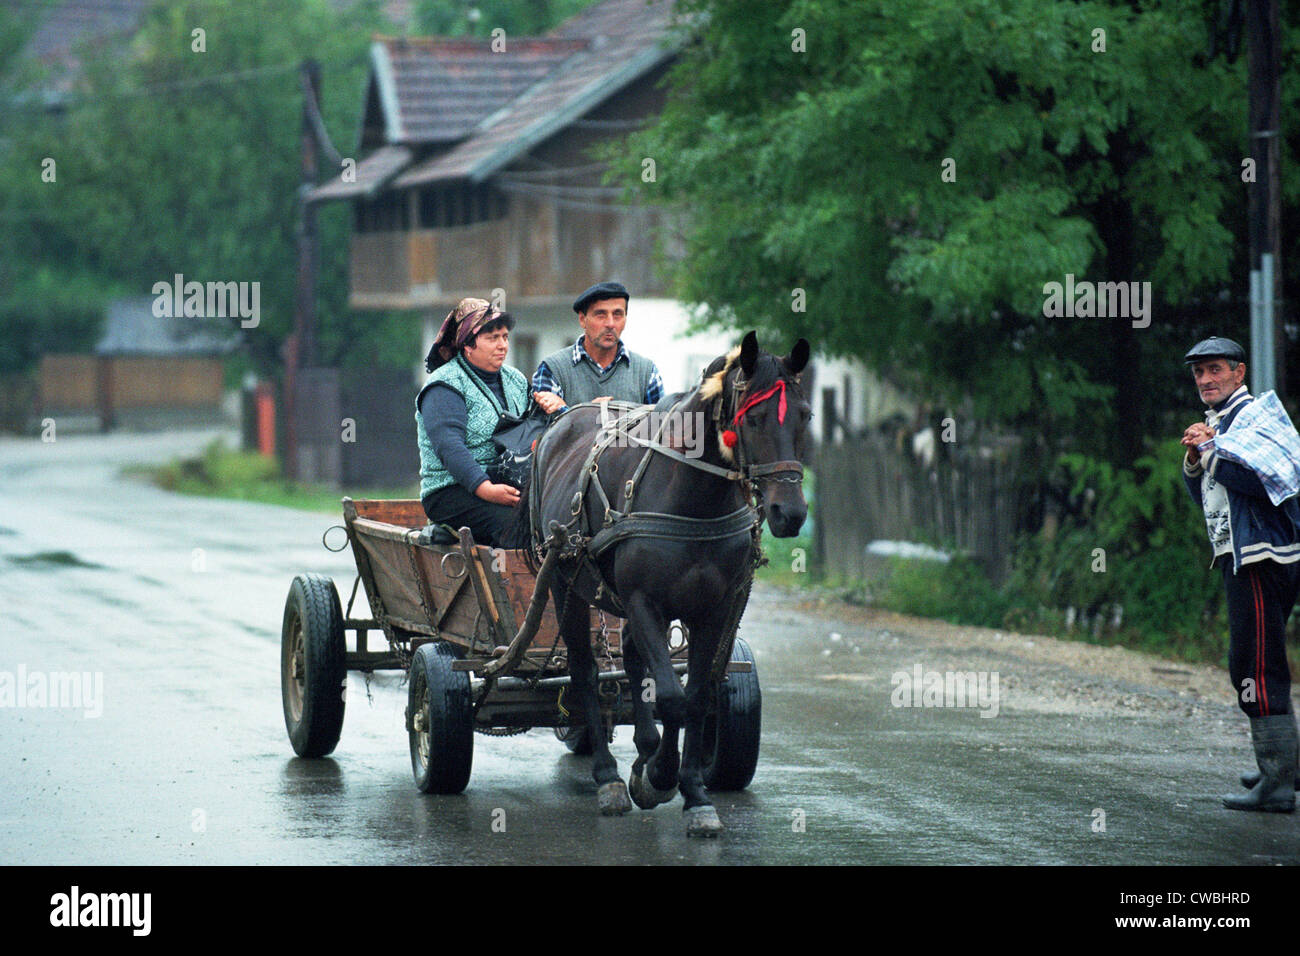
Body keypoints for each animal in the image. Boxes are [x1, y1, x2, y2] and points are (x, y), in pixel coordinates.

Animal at [520, 330, 811, 837]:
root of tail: (560, 424)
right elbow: (672, 697)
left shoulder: (714, 608)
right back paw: (610, 776)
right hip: (564, 584)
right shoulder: (643, 602)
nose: (788, 512)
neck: (692, 496)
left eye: (805, 416)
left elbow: (696, 696)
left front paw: (693, 791)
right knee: (585, 672)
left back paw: (643, 747)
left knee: (633, 660)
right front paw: (658, 774)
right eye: (753, 418)